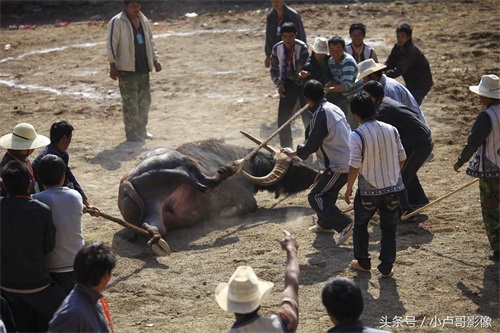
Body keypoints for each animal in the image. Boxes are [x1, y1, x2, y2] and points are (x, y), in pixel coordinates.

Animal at [117, 139, 316, 240]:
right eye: (293, 167)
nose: (316, 173)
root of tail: (128, 182)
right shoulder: (246, 199)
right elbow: (251, 206)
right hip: (184, 165)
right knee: (202, 181)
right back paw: (227, 171)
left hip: (155, 214)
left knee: (154, 228)